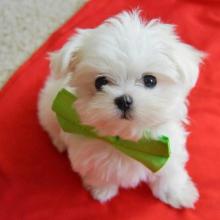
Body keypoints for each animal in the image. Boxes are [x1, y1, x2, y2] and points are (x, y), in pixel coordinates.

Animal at [37, 11, 205, 209]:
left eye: (150, 80)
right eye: (100, 82)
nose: (124, 100)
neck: (127, 142)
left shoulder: (169, 149)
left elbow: (169, 173)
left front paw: (177, 193)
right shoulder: (87, 155)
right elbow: (98, 174)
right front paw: (102, 191)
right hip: (47, 106)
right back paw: (59, 143)